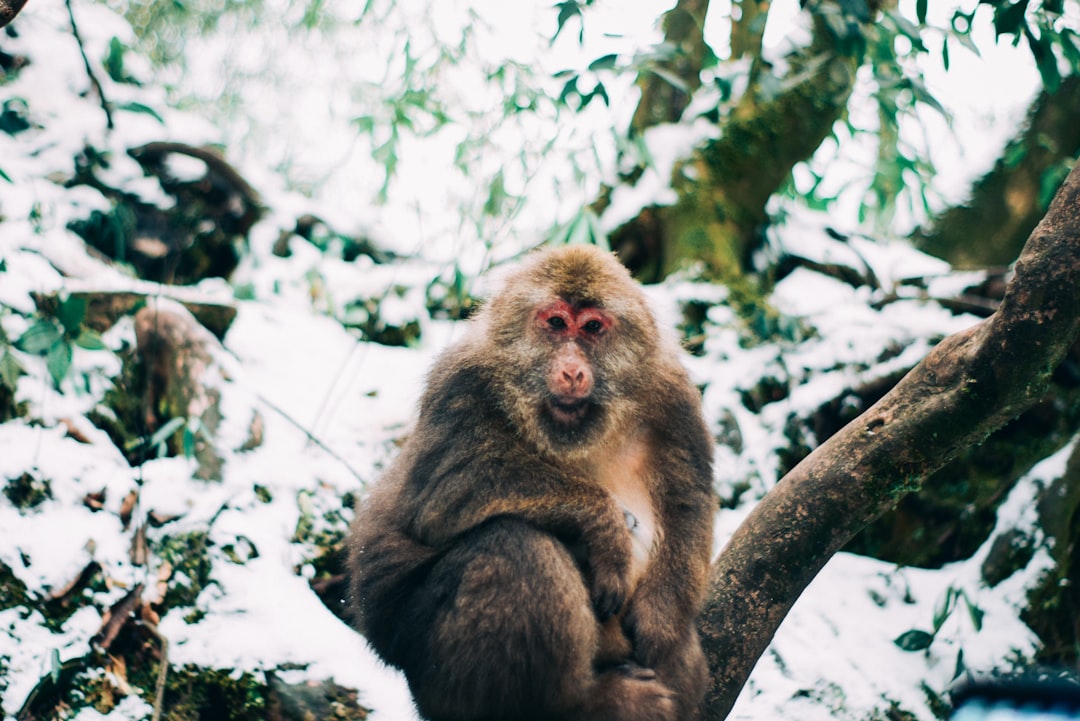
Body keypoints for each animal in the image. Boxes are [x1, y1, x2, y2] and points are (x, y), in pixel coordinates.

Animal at [347, 243, 717, 721]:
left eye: (592, 327)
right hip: (434, 682)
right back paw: (586, 704)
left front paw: (659, 619)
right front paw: (605, 526)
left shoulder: (675, 397)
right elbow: (447, 486)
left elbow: (689, 500)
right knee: (515, 546)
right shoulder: (459, 381)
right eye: (556, 323)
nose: (573, 371)